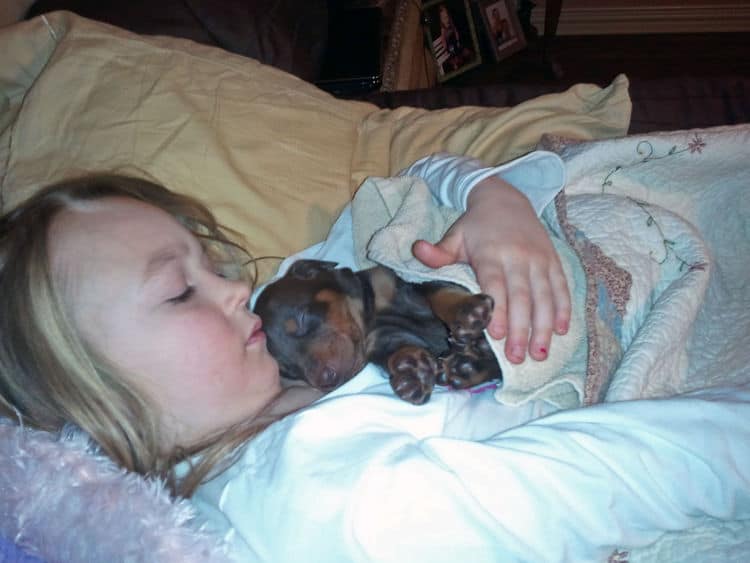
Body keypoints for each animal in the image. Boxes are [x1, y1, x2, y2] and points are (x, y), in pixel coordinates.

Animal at [254, 260, 506, 406]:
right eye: (289, 369)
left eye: (303, 318)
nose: (327, 381)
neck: (370, 315)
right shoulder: (381, 339)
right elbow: (396, 350)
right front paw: (411, 370)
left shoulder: (408, 285)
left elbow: (438, 290)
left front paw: (464, 309)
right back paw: (467, 367)